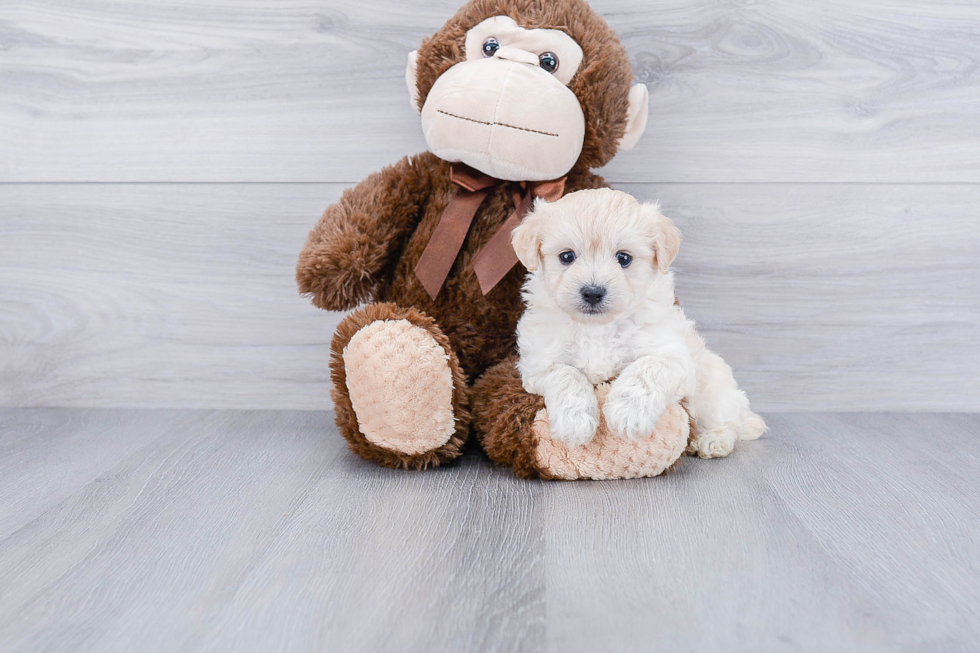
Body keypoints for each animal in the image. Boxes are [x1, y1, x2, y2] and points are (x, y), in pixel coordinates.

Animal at [512, 188, 764, 458]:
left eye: (624, 258)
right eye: (566, 256)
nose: (592, 292)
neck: (598, 327)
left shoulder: (674, 357)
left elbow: (648, 367)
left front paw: (628, 412)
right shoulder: (539, 363)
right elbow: (565, 375)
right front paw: (575, 421)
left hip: (714, 392)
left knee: (730, 422)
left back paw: (712, 440)